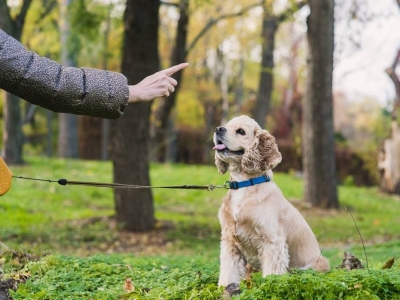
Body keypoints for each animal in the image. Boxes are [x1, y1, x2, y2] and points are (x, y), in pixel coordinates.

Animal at [212, 113, 328, 288]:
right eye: (226, 125)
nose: (218, 129)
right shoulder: (229, 241)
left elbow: (272, 274)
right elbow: (228, 272)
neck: (244, 185)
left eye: (240, 131)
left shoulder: (272, 242)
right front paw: (226, 289)